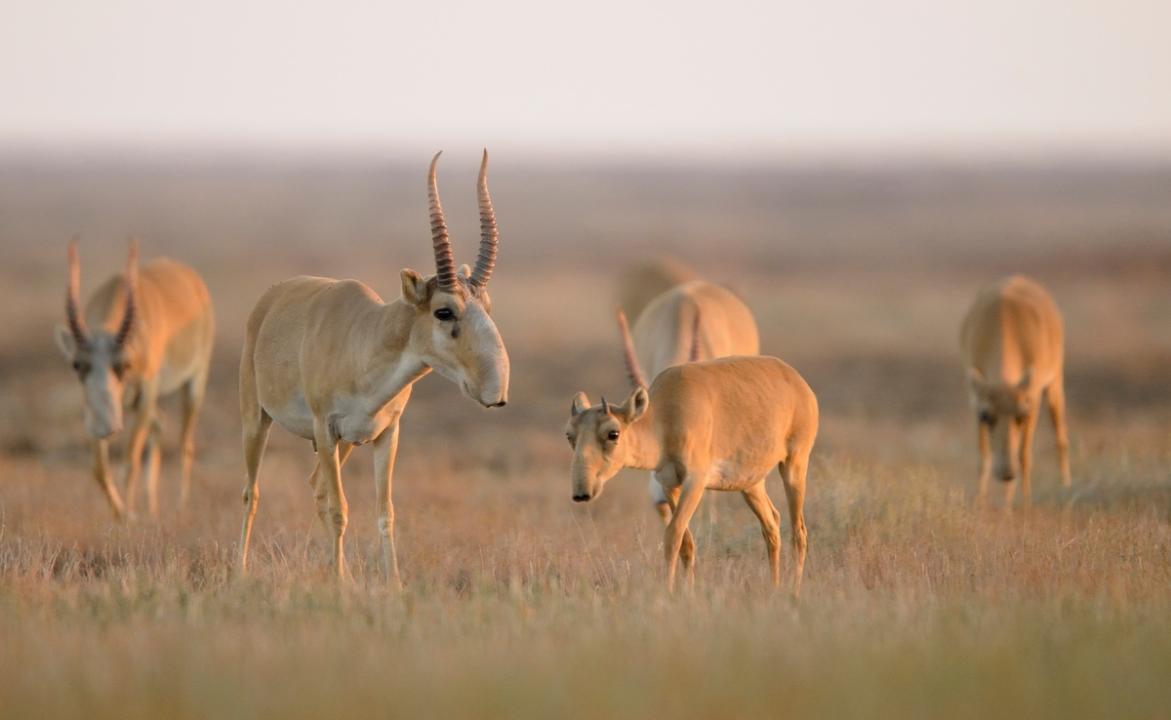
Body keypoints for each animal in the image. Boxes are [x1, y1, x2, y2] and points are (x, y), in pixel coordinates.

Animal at [55, 241, 215, 517]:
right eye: (77, 364)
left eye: (124, 364)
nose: (106, 427)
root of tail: (191, 279)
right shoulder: (94, 409)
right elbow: (99, 468)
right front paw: (121, 516)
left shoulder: (147, 392)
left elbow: (130, 461)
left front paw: (130, 517)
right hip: (133, 403)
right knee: (160, 425)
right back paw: (152, 508)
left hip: (193, 383)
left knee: (186, 444)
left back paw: (180, 507)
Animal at [237, 149, 508, 583]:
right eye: (443, 310)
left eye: (487, 305)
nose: (495, 391)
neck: (366, 340)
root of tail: (270, 299)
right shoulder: (325, 429)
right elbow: (340, 509)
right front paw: (341, 584)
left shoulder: (386, 435)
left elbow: (385, 513)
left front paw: (390, 583)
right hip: (258, 421)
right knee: (252, 491)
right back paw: (240, 570)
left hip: (344, 444)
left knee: (315, 487)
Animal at [566, 318, 815, 594]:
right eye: (570, 435)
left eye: (613, 433)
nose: (582, 493)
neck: (665, 416)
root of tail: (797, 381)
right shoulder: (669, 484)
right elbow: (686, 542)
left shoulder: (695, 482)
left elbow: (673, 533)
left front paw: (668, 591)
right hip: (750, 484)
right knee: (772, 524)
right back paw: (774, 586)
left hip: (794, 464)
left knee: (799, 532)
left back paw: (794, 590)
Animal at [960, 276, 1072, 508]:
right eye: (985, 415)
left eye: (1022, 415)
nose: (1006, 473)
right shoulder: (975, 399)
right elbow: (983, 456)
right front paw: (980, 502)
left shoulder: (1033, 399)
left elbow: (1024, 455)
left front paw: (1025, 503)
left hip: (1055, 383)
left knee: (1060, 437)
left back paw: (1066, 487)